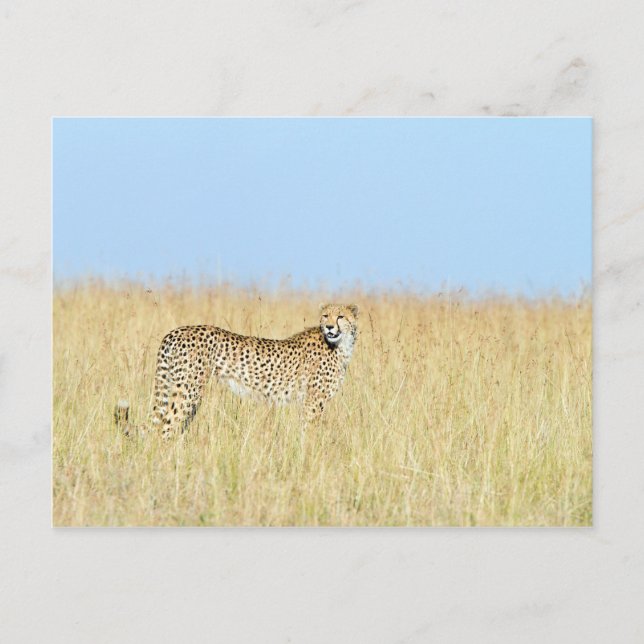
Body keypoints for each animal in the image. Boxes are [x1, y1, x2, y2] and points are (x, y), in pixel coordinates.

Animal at [116, 303, 359, 437]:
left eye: (341, 316)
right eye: (326, 316)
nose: (329, 327)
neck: (340, 345)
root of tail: (175, 331)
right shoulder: (313, 402)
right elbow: (309, 433)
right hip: (188, 391)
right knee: (166, 427)